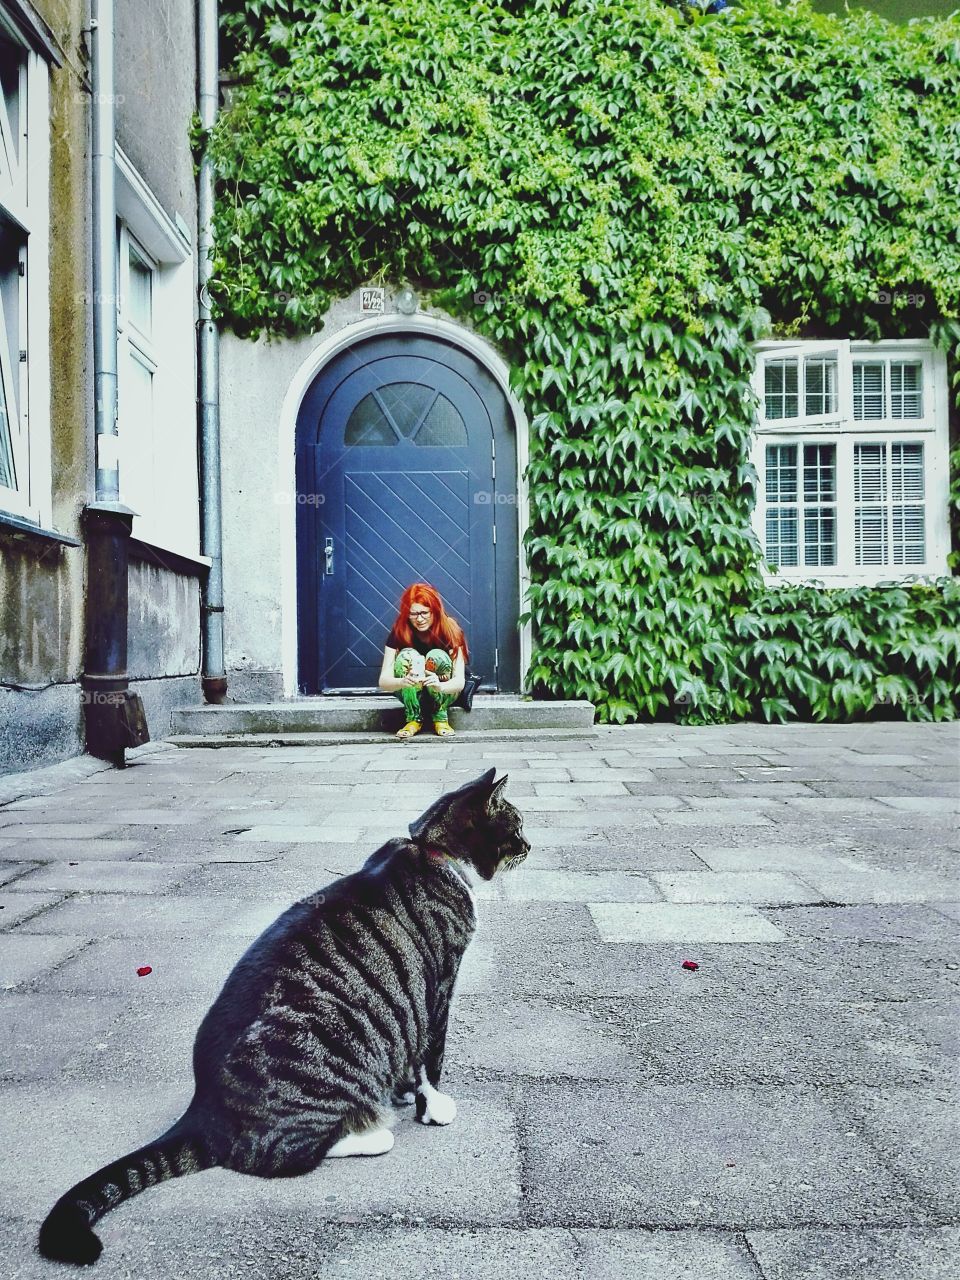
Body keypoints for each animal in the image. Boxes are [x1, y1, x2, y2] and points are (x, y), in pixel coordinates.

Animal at [37, 762, 529, 1264]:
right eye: (517, 827)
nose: (530, 846)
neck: (433, 850)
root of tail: (205, 1111)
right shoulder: (440, 982)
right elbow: (433, 1054)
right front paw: (434, 1106)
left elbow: (411, 1052)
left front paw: (407, 1092)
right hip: (326, 1045)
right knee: (275, 1156)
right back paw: (370, 1131)